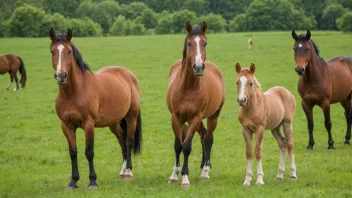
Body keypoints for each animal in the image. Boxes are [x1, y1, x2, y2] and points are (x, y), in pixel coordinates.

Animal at [49, 28, 142, 189]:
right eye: (52, 51)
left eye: (69, 51)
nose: (61, 76)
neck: (73, 93)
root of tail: (128, 74)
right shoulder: (66, 125)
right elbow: (73, 152)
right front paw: (73, 181)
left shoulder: (89, 124)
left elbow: (89, 152)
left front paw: (92, 181)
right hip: (113, 122)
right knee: (122, 141)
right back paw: (122, 171)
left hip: (131, 118)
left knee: (128, 141)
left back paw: (129, 172)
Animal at [166, 21, 226, 187]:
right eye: (189, 43)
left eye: (205, 43)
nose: (198, 67)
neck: (187, 87)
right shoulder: (176, 118)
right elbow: (178, 145)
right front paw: (174, 175)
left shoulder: (195, 117)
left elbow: (186, 146)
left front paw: (185, 178)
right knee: (203, 135)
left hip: (212, 116)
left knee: (209, 138)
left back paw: (205, 170)